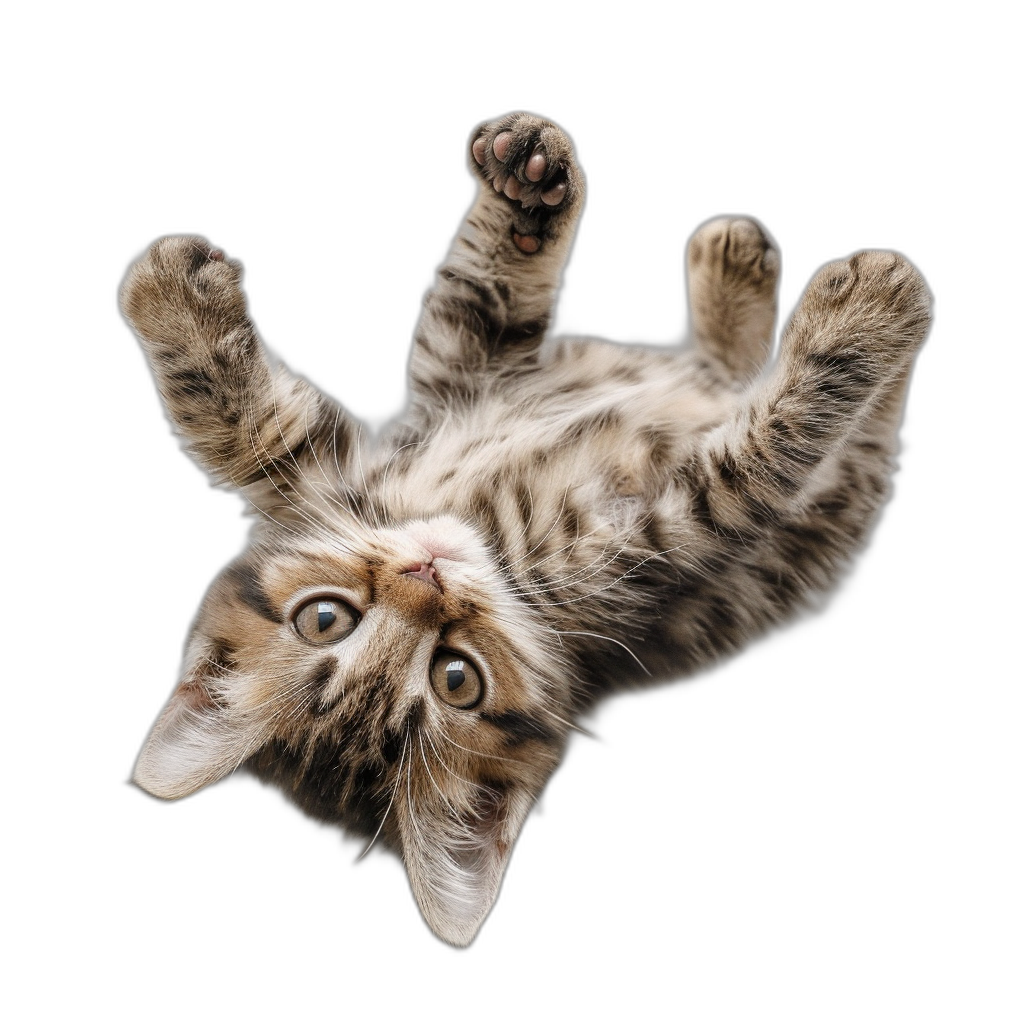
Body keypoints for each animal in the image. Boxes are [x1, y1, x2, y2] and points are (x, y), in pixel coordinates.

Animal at [116, 108, 933, 946]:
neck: (484, 531)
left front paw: (527, 178)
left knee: (725, 375)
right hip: (831, 516)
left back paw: (732, 260)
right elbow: (771, 441)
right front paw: (862, 321)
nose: (426, 577)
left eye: (322, 619)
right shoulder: (678, 537)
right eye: (457, 679)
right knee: (860, 445)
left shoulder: (428, 404)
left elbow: (259, 415)